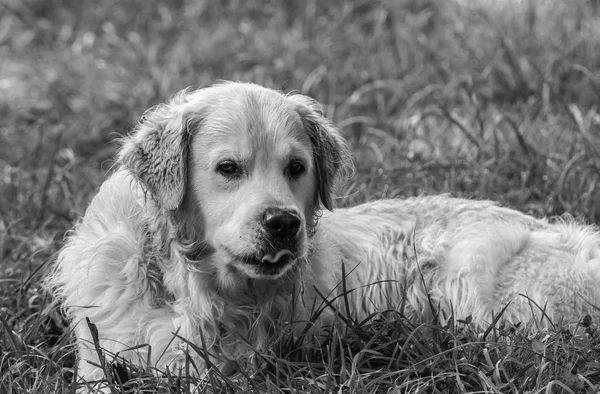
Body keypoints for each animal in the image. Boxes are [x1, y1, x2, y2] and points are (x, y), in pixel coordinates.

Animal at [49, 81, 600, 388]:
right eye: (228, 168)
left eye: (296, 167)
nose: (283, 223)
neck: (183, 274)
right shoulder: (97, 351)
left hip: (474, 288)